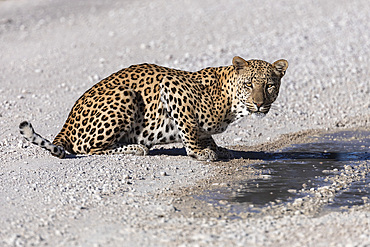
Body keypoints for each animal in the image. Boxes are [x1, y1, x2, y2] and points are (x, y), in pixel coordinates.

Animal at [18, 56, 288, 161]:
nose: (259, 103)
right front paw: (199, 152)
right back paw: (136, 148)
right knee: (87, 148)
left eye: (269, 86)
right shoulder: (172, 87)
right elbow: (189, 128)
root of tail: (68, 119)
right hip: (126, 95)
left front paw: (218, 148)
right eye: (249, 84)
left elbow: (205, 135)